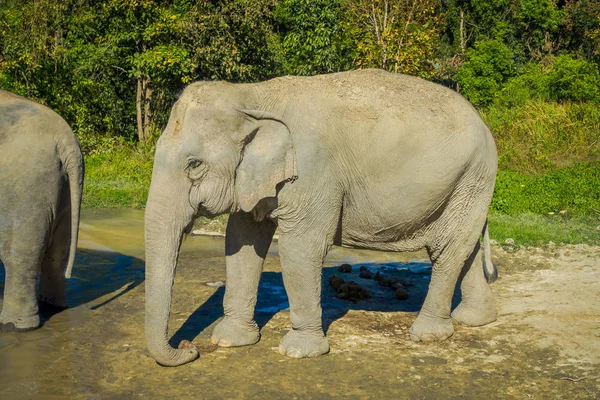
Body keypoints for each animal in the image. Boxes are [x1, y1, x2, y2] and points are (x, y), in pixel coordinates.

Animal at [0, 90, 83, 332]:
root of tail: (66, 140)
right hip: (65, 187)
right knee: (59, 251)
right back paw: (53, 307)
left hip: (24, 187)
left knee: (19, 257)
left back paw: (16, 326)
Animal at [145, 69, 496, 366]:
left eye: (194, 164)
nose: (189, 348)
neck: (253, 94)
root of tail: (484, 124)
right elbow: (242, 240)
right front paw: (230, 340)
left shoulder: (313, 171)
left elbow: (300, 248)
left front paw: (297, 352)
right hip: (470, 185)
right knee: (466, 247)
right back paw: (474, 319)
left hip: (473, 176)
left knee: (447, 250)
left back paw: (428, 334)